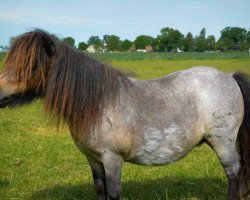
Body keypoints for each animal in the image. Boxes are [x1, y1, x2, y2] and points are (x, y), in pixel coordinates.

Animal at [0, 28, 250, 199]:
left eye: (32, 64)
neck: (99, 105)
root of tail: (229, 76)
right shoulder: (93, 159)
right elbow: (100, 189)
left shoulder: (112, 159)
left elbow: (113, 192)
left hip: (222, 142)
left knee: (233, 172)